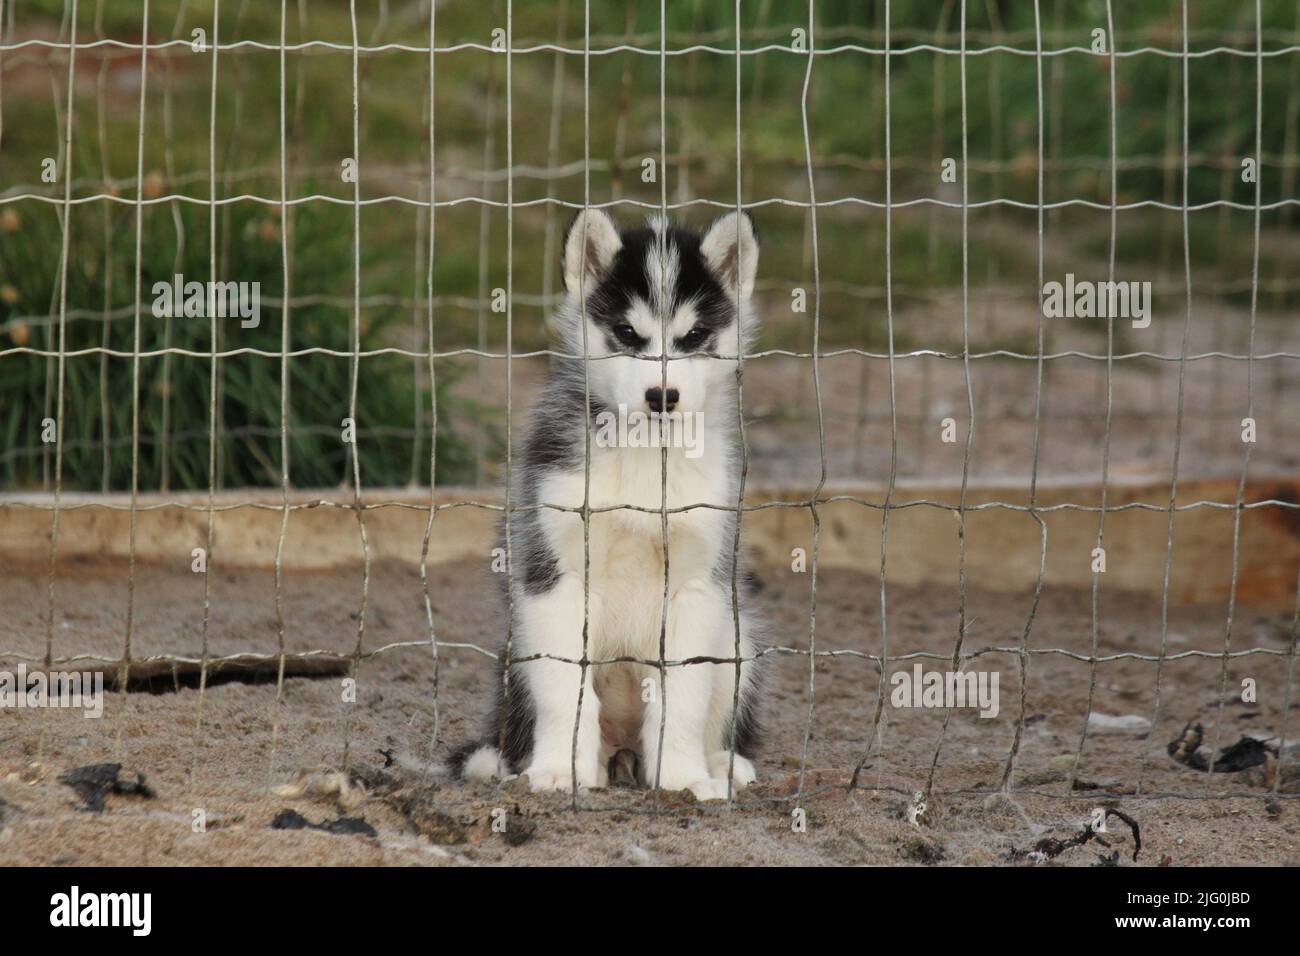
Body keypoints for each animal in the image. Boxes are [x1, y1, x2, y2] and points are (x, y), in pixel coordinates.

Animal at [454, 208, 764, 801]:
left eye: (694, 337)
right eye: (627, 334)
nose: (662, 397)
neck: (646, 458)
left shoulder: (697, 586)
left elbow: (682, 694)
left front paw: (684, 778)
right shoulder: (553, 577)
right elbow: (566, 686)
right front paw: (559, 770)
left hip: (739, 639)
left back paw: (720, 764)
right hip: (518, 652)